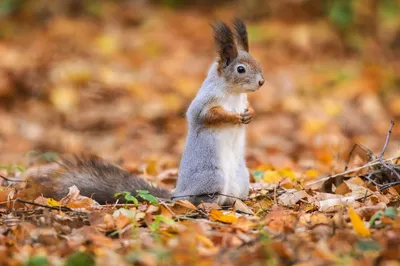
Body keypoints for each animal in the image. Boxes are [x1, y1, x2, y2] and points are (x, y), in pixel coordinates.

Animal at [23, 19, 264, 206]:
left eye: (258, 63)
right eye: (240, 69)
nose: (262, 82)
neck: (233, 93)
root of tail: (177, 195)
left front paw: (250, 113)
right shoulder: (204, 102)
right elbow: (206, 116)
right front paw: (234, 117)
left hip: (242, 179)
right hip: (212, 177)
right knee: (200, 202)